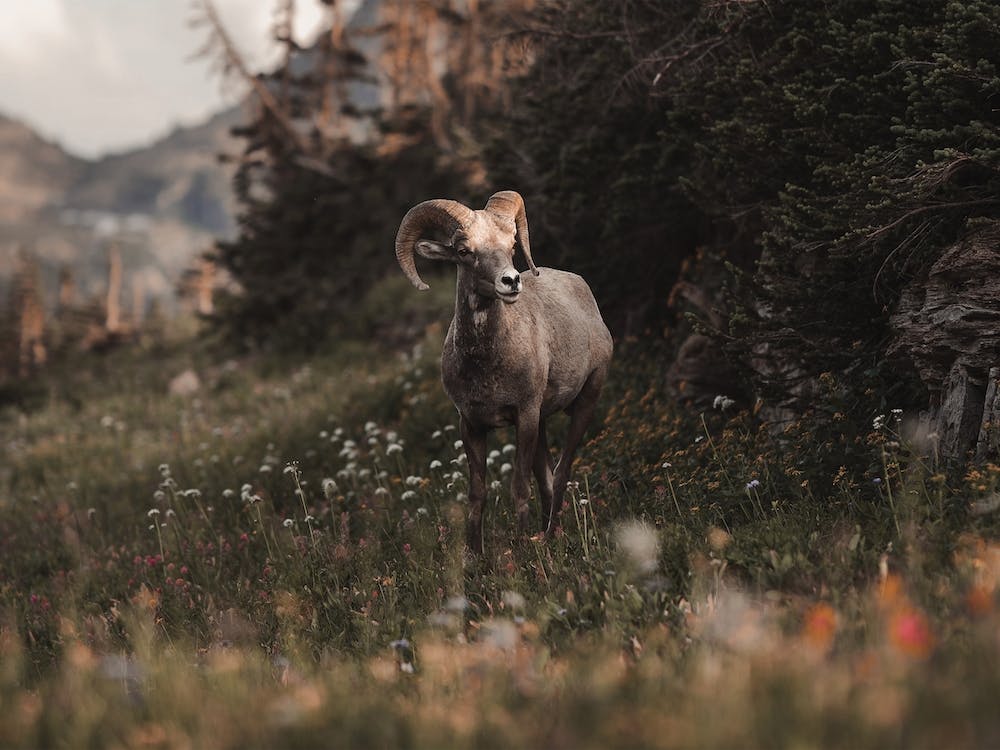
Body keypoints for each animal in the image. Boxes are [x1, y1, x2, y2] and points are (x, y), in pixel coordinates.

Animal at [395, 190, 613, 552]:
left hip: (586, 400)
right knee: (547, 476)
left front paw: (522, 549)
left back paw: (548, 536)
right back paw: (546, 533)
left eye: (511, 245)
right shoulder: (471, 424)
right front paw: (474, 554)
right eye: (464, 251)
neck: (487, 367)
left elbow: (519, 487)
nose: (511, 282)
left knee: (562, 471)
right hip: (542, 422)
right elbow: (477, 494)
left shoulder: (523, 416)